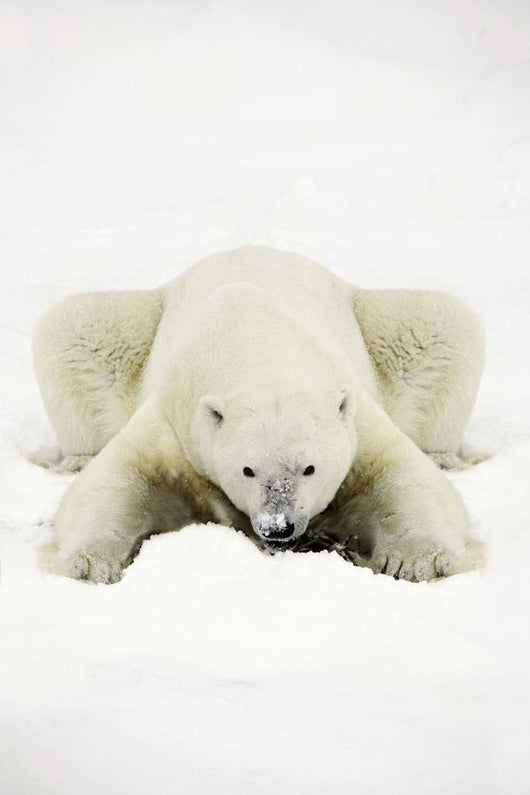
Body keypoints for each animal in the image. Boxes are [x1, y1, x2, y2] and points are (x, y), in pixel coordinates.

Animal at [32, 245, 485, 583]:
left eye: (309, 468)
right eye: (248, 469)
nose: (278, 527)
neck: (255, 342)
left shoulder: (354, 413)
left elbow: (402, 475)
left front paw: (418, 561)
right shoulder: (177, 422)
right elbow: (117, 478)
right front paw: (90, 563)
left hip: (375, 321)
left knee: (444, 321)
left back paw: (445, 455)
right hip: (138, 325)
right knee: (70, 326)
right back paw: (74, 460)